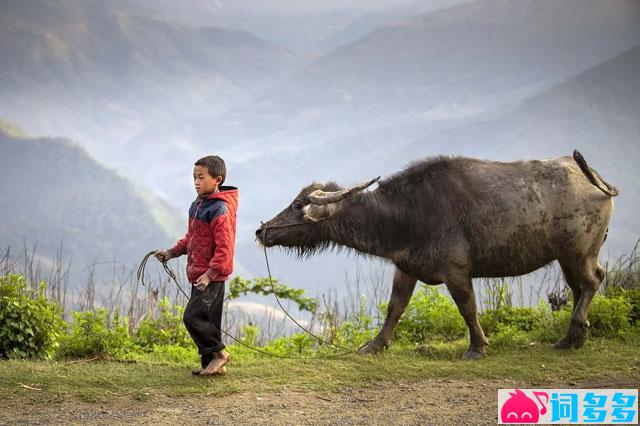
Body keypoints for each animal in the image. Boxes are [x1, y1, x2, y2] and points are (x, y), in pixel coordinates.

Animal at [256, 151, 620, 358]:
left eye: (299, 205)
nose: (262, 231)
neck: (407, 214)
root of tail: (593, 179)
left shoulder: (456, 271)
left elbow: (468, 308)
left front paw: (477, 347)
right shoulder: (406, 268)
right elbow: (395, 307)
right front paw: (375, 345)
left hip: (578, 251)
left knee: (592, 281)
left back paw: (574, 334)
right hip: (566, 256)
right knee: (582, 285)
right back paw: (572, 338)